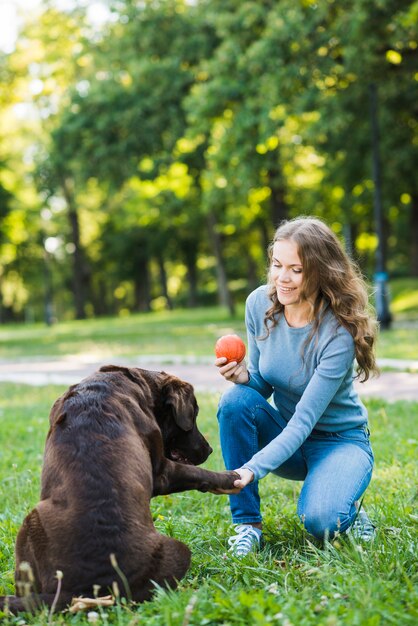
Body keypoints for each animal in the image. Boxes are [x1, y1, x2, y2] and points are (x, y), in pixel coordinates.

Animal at [0, 364, 238, 612]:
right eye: (194, 413)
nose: (209, 449)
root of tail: (81, 590)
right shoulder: (160, 471)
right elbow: (196, 473)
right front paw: (230, 478)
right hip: (178, 550)